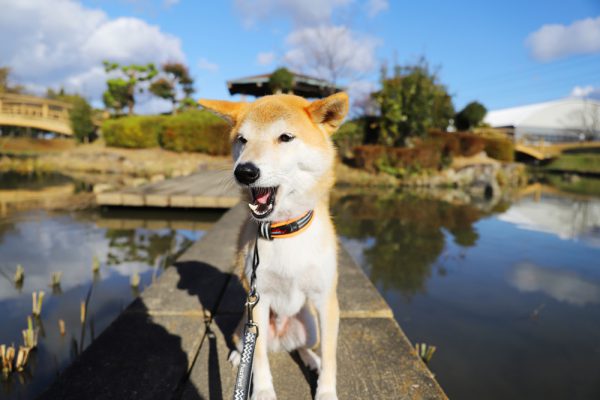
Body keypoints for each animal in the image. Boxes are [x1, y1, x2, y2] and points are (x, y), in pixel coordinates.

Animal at [199, 92, 350, 398]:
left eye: (285, 137)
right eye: (242, 139)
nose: (244, 172)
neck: (283, 230)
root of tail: (280, 339)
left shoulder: (325, 299)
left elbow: (331, 356)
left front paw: (326, 390)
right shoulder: (258, 300)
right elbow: (257, 358)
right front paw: (263, 391)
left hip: (310, 324)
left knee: (303, 346)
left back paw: (310, 358)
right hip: (246, 325)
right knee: (248, 344)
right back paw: (238, 356)